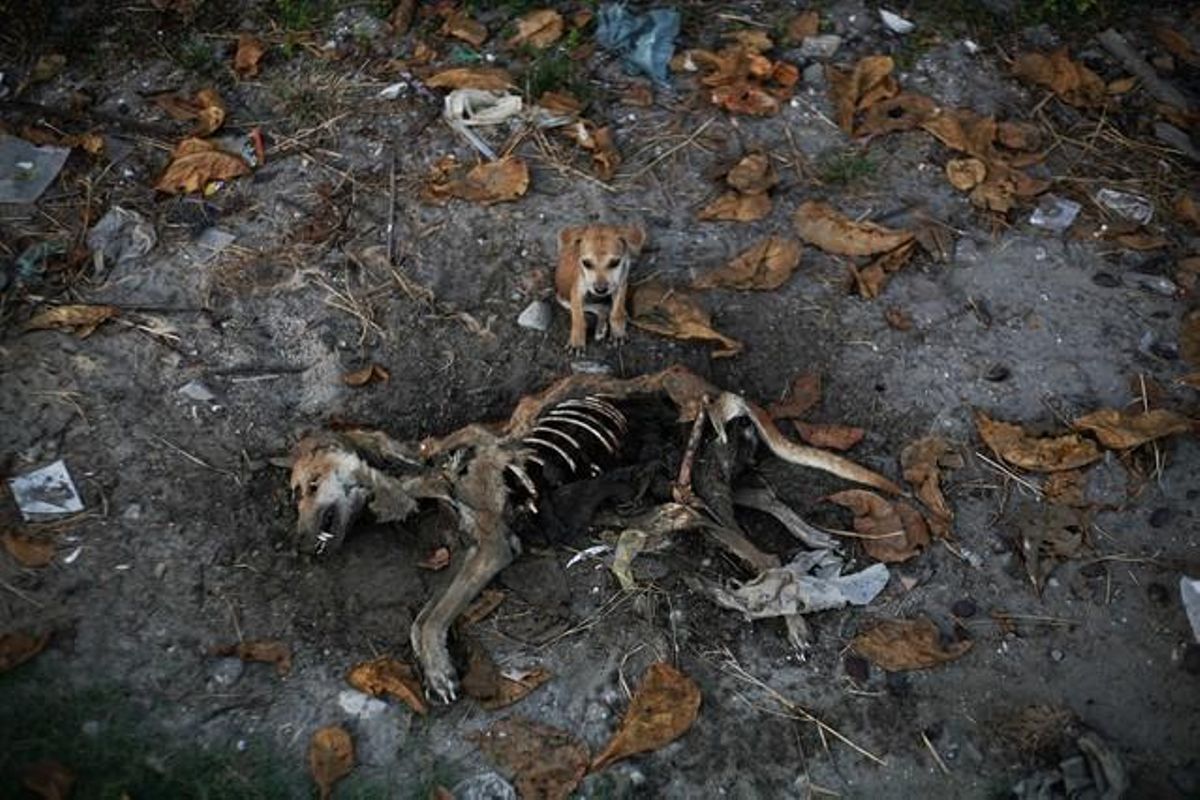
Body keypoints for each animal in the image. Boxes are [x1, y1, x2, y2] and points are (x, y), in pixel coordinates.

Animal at [554, 221, 648, 352]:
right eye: (586, 263)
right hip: (563, 299)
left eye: (615, 263)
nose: (600, 290)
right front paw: (577, 341)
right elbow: (578, 319)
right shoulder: (577, 291)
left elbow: (616, 311)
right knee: (599, 307)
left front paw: (618, 332)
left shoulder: (620, 283)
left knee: (603, 307)